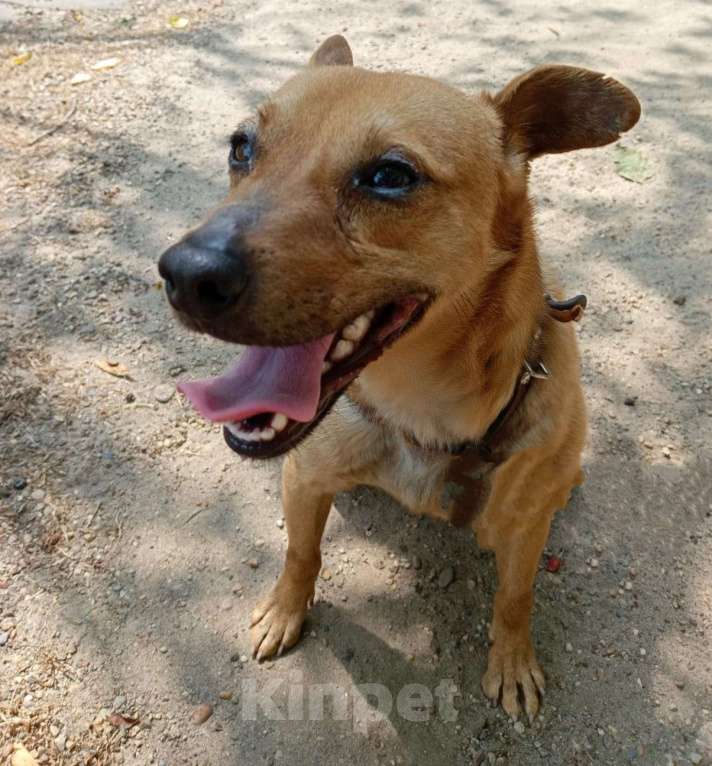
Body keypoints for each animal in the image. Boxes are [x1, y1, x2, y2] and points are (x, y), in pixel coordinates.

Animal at [159, 34, 644, 720]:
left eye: (390, 176)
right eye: (241, 147)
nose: (184, 274)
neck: (421, 410)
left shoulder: (525, 533)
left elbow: (515, 600)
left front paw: (512, 660)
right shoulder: (304, 478)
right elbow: (300, 553)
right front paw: (285, 611)